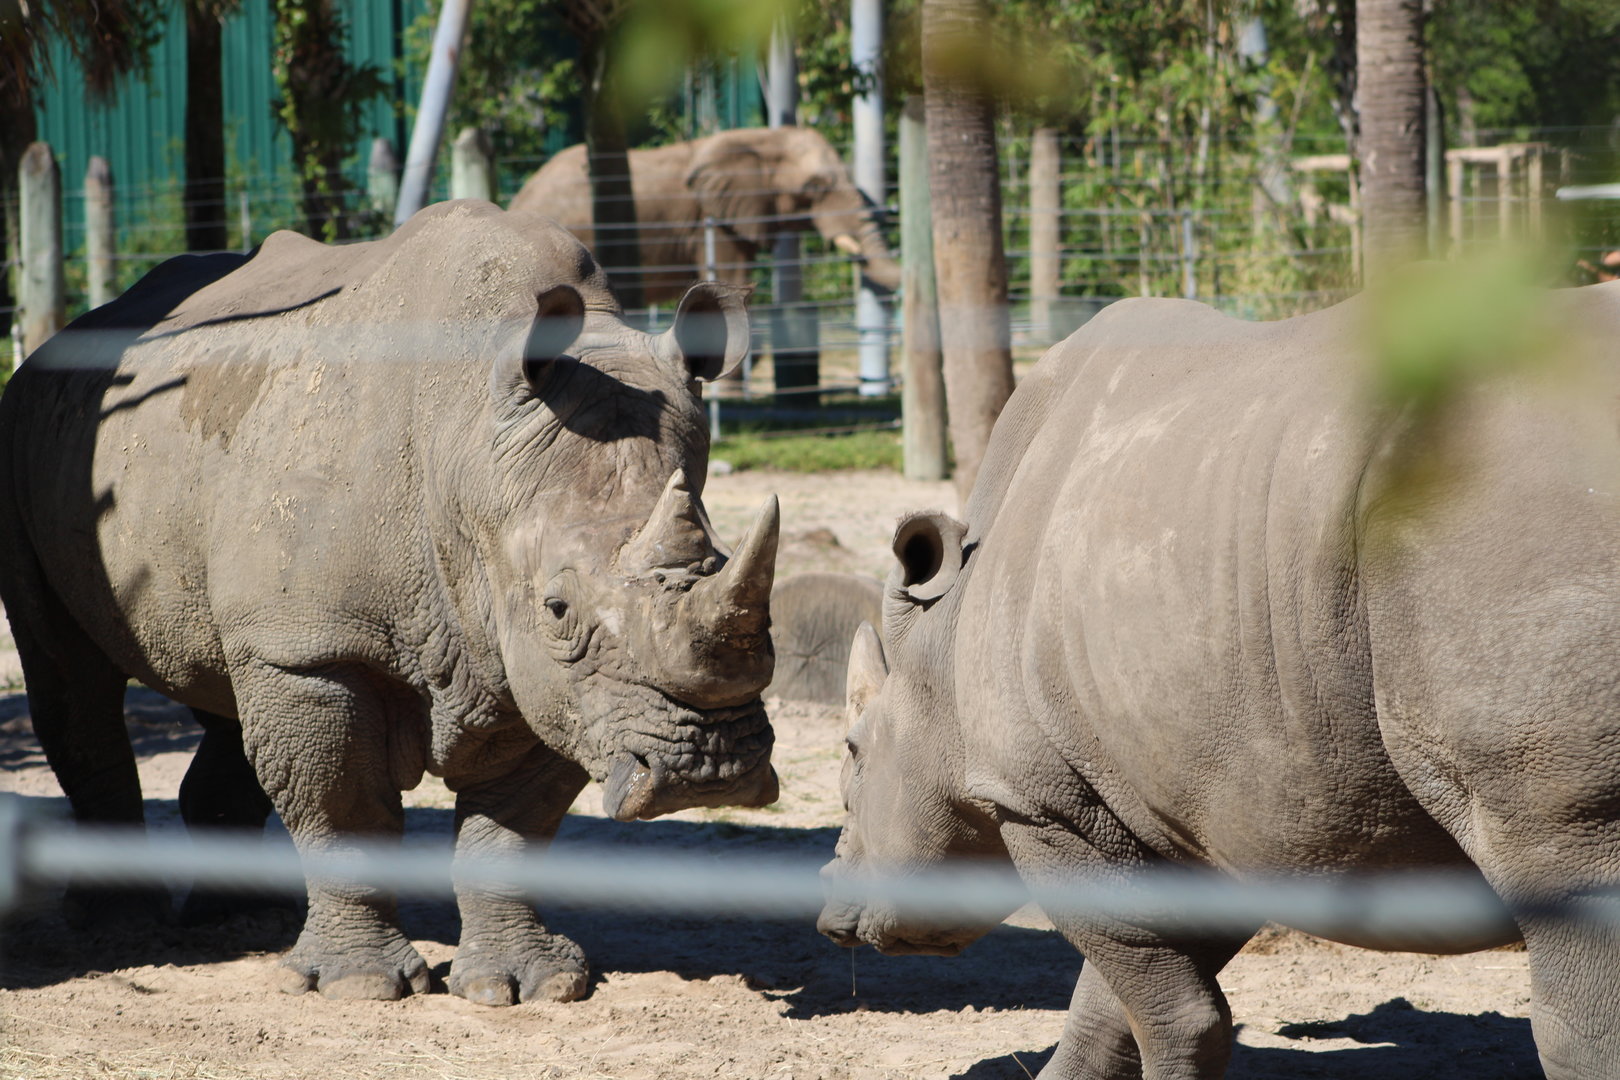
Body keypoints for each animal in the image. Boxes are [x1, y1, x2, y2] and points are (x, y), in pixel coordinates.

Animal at [0, 200, 781, 1005]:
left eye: (729, 568)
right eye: (558, 610)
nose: (710, 770)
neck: (469, 442)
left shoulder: (539, 674)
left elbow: (513, 825)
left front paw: (525, 986)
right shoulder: (321, 648)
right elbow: (343, 803)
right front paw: (362, 986)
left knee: (221, 680)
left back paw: (244, 919)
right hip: (32, 429)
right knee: (72, 680)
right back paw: (122, 930)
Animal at [818, 287, 1620, 1078]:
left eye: (856, 752)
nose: (828, 914)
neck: (941, 641)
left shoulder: (1044, 801)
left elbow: (1168, 1010)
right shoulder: (1220, 812)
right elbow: (1111, 1006)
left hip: (1510, 519)